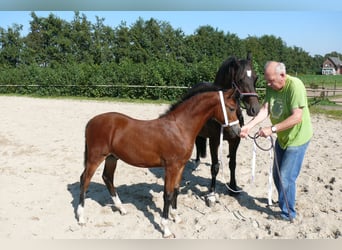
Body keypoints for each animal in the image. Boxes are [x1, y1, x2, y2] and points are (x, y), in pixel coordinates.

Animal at [76, 86, 239, 238]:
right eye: (232, 108)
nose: (237, 132)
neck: (179, 127)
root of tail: (91, 122)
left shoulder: (180, 166)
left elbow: (176, 190)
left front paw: (176, 217)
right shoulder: (171, 167)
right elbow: (167, 194)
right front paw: (166, 229)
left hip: (111, 157)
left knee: (107, 177)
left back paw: (121, 209)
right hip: (95, 157)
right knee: (85, 180)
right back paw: (81, 218)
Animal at [194, 52, 260, 203]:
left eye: (255, 78)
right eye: (240, 80)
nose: (255, 109)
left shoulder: (235, 140)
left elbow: (232, 164)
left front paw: (233, 188)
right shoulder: (214, 141)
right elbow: (215, 166)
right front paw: (212, 193)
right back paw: (196, 160)